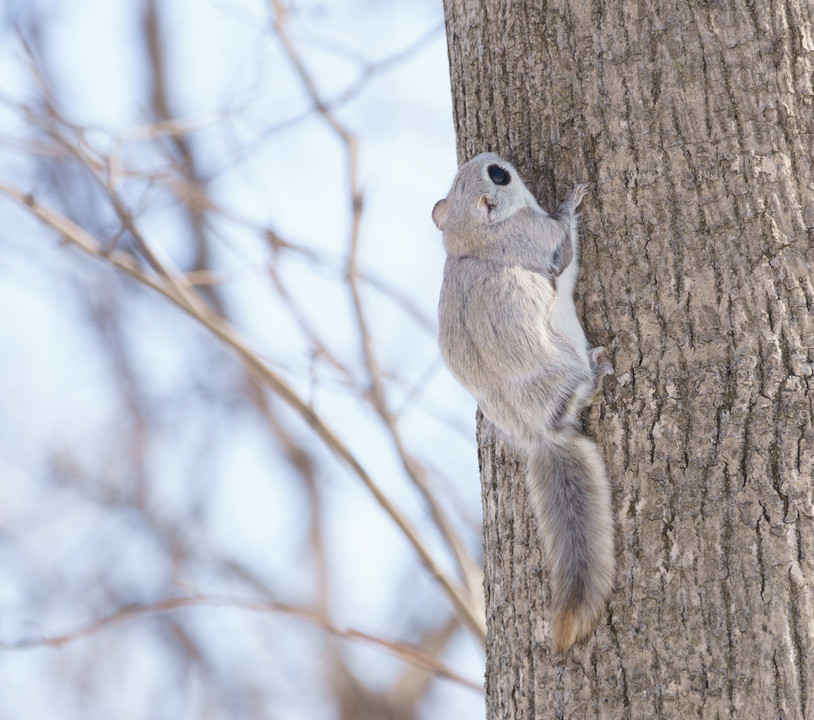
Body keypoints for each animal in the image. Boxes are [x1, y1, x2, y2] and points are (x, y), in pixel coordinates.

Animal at [434, 152, 612, 652]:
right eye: (499, 176)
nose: (492, 156)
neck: (472, 240)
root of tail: (541, 434)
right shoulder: (538, 237)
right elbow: (564, 245)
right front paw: (573, 199)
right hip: (565, 367)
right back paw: (598, 372)